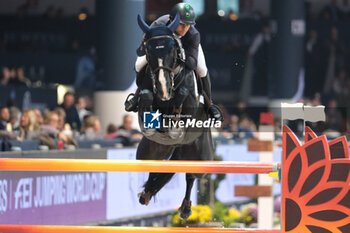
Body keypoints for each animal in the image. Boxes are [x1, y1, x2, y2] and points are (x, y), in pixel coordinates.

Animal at [135, 13, 215, 219]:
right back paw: (146, 193)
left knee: (191, 175)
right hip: (148, 151)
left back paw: (186, 209)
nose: (163, 90)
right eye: (148, 52)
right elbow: (146, 98)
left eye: (173, 51)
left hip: (202, 157)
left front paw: (174, 126)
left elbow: (182, 100)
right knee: (155, 165)